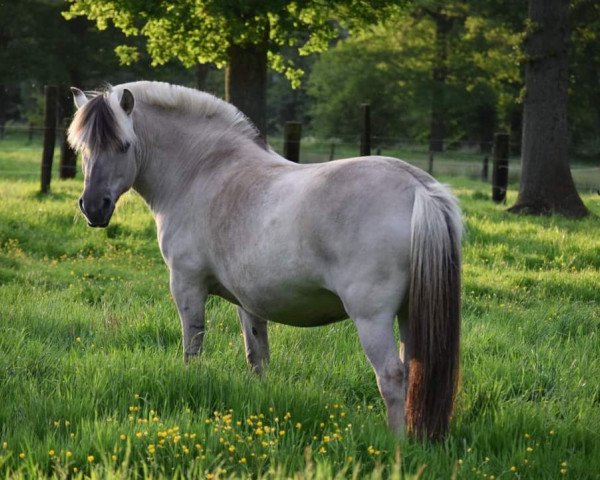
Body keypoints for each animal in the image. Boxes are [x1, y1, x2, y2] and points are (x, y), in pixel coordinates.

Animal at [69, 81, 464, 438]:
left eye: (123, 145)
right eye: (82, 148)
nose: (93, 207)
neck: (203, 171)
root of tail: (419, 189)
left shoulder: (187, 286)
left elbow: (192, 346)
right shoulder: (248, 301)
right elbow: (256, 356)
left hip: (373, 318)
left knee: (392, 376)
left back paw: (397, 446)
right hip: (411, 313)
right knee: (415, 371)